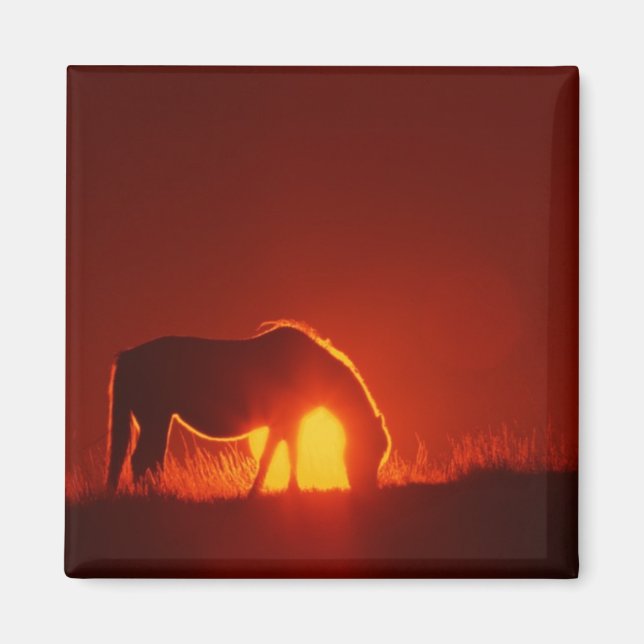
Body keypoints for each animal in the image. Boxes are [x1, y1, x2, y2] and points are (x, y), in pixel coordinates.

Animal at [106, 322, 391, 496]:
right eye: (371, 449)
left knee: (149, 459)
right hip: (156, 420)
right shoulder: (282, 424)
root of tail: (129, 356)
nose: (367, 489)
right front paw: (262, 492)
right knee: (143, 459)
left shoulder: (290, 424)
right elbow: (271, 458)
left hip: (157, 420)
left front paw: (290, 490)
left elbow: (288, 455)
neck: (308, 367)